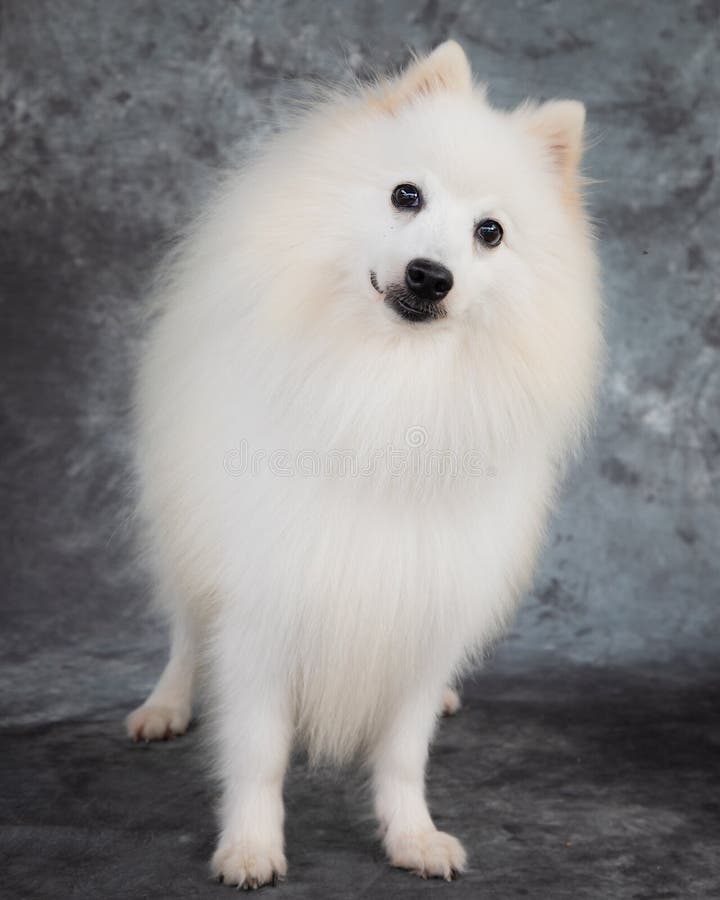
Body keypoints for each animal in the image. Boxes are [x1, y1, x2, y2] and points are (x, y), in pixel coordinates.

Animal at [128, 40, 600, 884]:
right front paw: (251, 846)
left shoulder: (424, 601)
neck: (388, 388)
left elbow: (404, 754)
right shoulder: (267, 603)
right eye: (406, 195)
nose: (430, 276)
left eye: (490, 232)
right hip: (179, 525)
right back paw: (167, 705)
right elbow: (258, 752)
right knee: (184, 628)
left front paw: (414, 837)